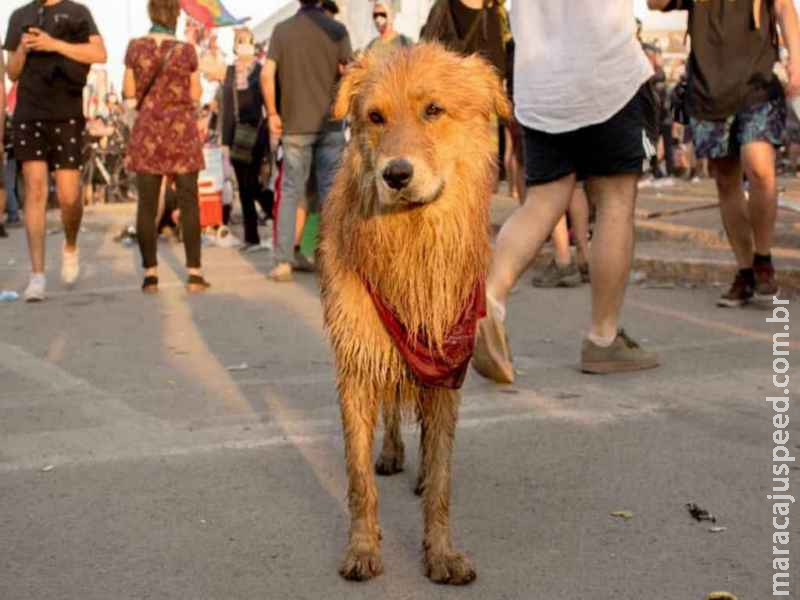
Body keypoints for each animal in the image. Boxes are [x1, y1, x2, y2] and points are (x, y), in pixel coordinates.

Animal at [318, 43, 510, 584]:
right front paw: (363, 547)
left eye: (433, 110)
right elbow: (358, 476)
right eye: (375, 117)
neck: (411, 246)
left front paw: (441, 553)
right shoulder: (357, 359)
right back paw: (392, 453)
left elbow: (443, 476)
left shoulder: (447, 364)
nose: (395, 175)